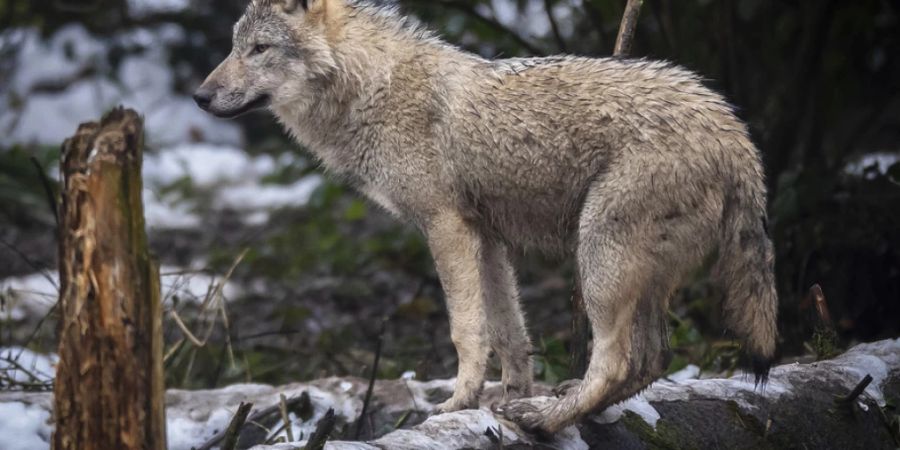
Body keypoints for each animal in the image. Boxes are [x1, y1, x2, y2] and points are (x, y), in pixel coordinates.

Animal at [193, 0, 776, 434]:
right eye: (234, 46)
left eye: (260, 49)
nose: (199, 96)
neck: (371, 89)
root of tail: (734, 132)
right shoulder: (487, 238)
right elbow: (509, 333)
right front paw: (502, 398)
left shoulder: (445, 227)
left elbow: (465, 330)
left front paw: (458, 402)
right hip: (636, 275)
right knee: (653, 359)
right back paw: (557, 407)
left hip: (597, 260)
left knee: (615, 361)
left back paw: (547, 418)